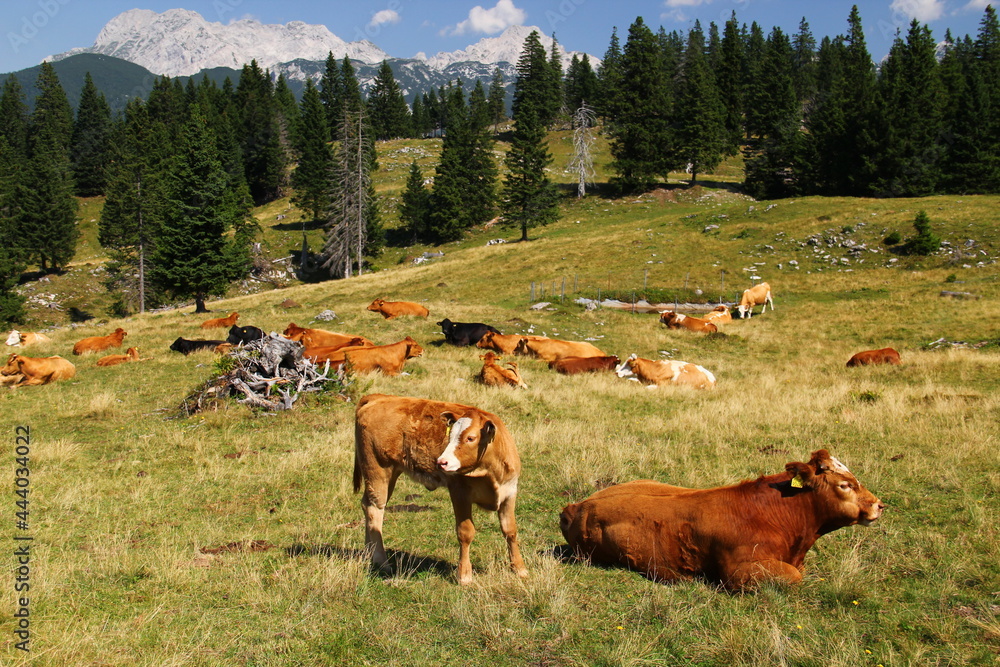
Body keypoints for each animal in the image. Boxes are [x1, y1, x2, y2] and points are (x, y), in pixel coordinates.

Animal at [353, 393, 527, 585]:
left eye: (470, 438)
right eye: (449, 437)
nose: (441, 462)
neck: (491, 472)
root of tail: (379, 397)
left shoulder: (509, 493)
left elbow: (510, 530)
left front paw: (519, 568)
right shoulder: (459, 493)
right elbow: (465, 532)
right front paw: (464, 575)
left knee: (366, 505)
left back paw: (368, 554)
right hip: (378, 471)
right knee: (375, 510)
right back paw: (381, 560)